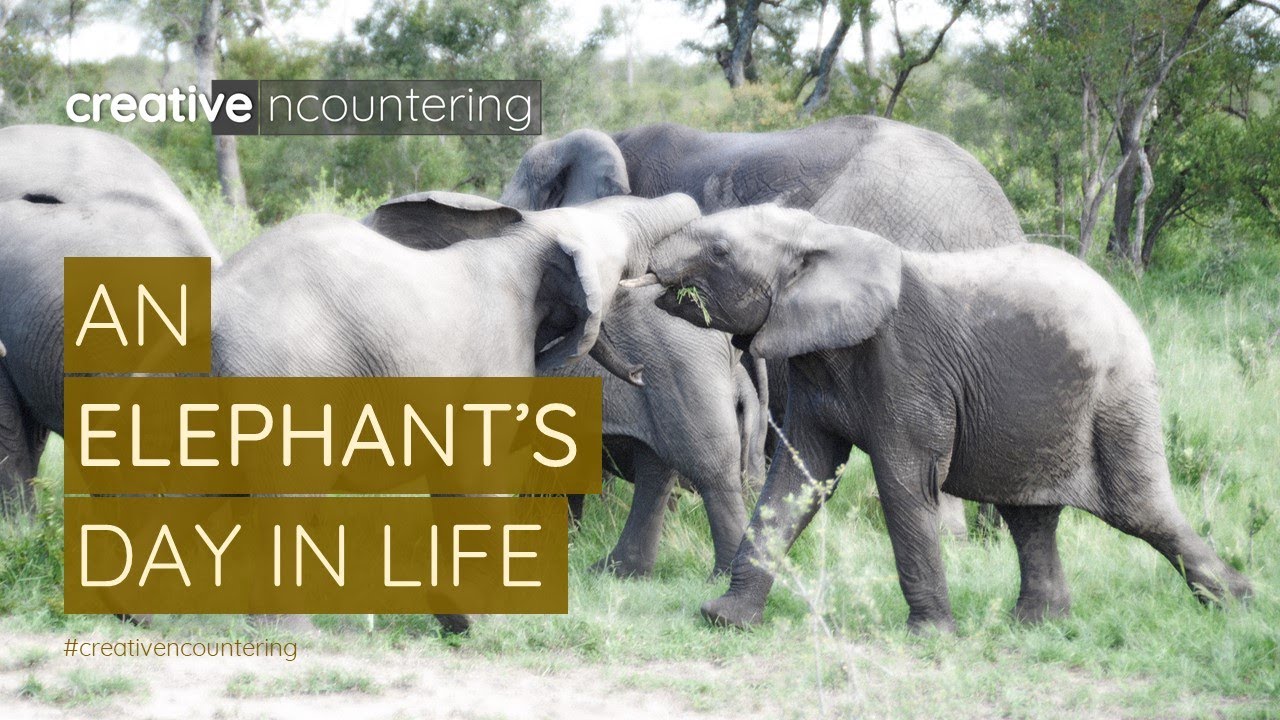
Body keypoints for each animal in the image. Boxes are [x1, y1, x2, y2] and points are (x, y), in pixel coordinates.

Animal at [365, 192, 760, 577]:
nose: (637, 372)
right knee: (657, 466)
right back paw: (616, 571)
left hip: (681, 366)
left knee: (704, 462)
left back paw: (720, 576)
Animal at [633, 204, 1253, 631]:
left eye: (718, 250)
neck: (823, 236)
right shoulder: (815, 363)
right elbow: (797, 481)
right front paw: (724, 618)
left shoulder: (907, 366)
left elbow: (904, 483)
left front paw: (930, 636)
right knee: (1030, 516)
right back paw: (1033, 626)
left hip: (1118, 396)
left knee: (1141, 510)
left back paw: (1239, 606)